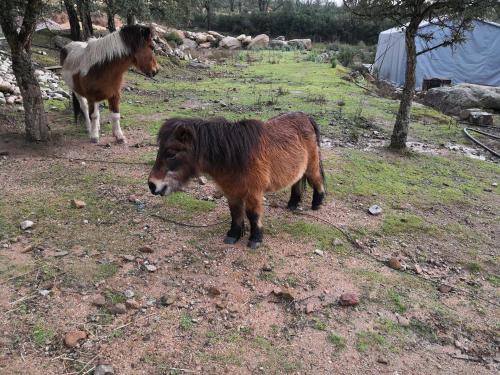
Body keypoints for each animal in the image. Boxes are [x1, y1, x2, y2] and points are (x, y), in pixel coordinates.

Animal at [146, 113, 326, 251]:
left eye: (171, 153)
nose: (152, 185)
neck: (236, 156)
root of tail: (306, 116)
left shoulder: (254, 193)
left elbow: (253, 215)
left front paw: (255, 239)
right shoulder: (232, 192)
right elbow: (235, 213)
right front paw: (233, 235)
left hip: (311, 167)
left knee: (318, 182)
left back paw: (317, 204)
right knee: (296, 183)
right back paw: (292, 204)